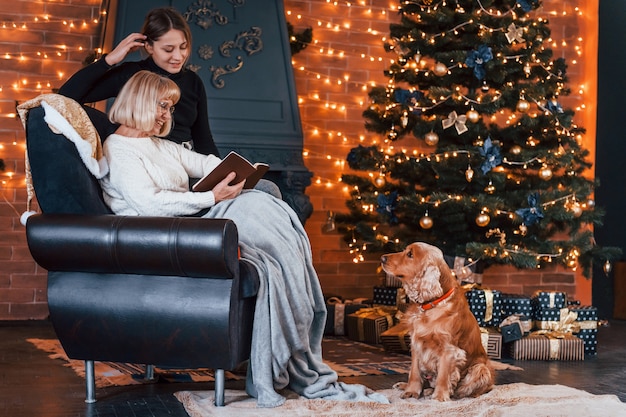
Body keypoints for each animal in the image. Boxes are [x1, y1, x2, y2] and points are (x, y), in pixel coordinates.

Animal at [380, 242, 492, 402]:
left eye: (410, 254)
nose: (382, 258)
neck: (431, 306)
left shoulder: (449, 350)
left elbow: (443, 376)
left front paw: (439, 397)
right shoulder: (416, 344)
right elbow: (414, 372)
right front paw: (411, 391)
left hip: (480, 368)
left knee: (466, 389)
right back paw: (407, 386)